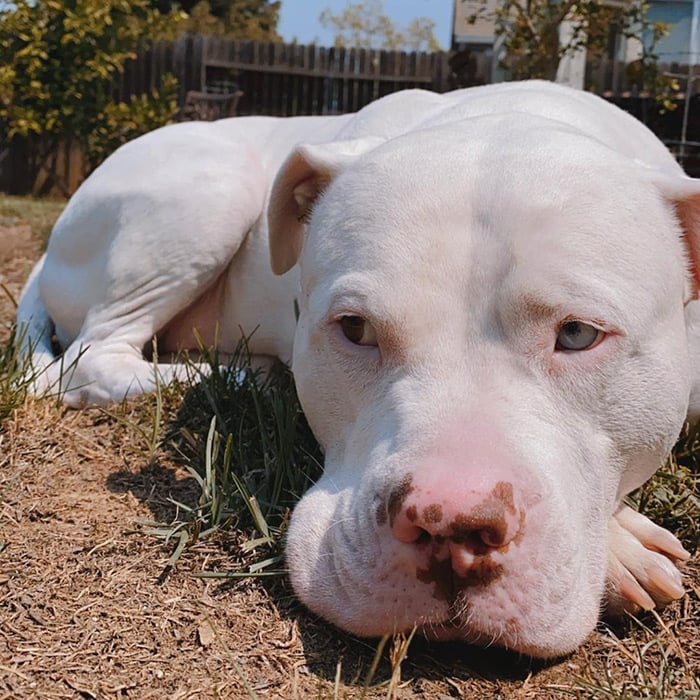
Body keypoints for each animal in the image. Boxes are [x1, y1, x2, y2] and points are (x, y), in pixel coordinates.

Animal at [16, 80, 696, 656]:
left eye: (578, 334)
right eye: (355, 329)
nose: (449, 527)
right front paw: (621, 548)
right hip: (209, 187)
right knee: (94, 360)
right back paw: (248, 377)